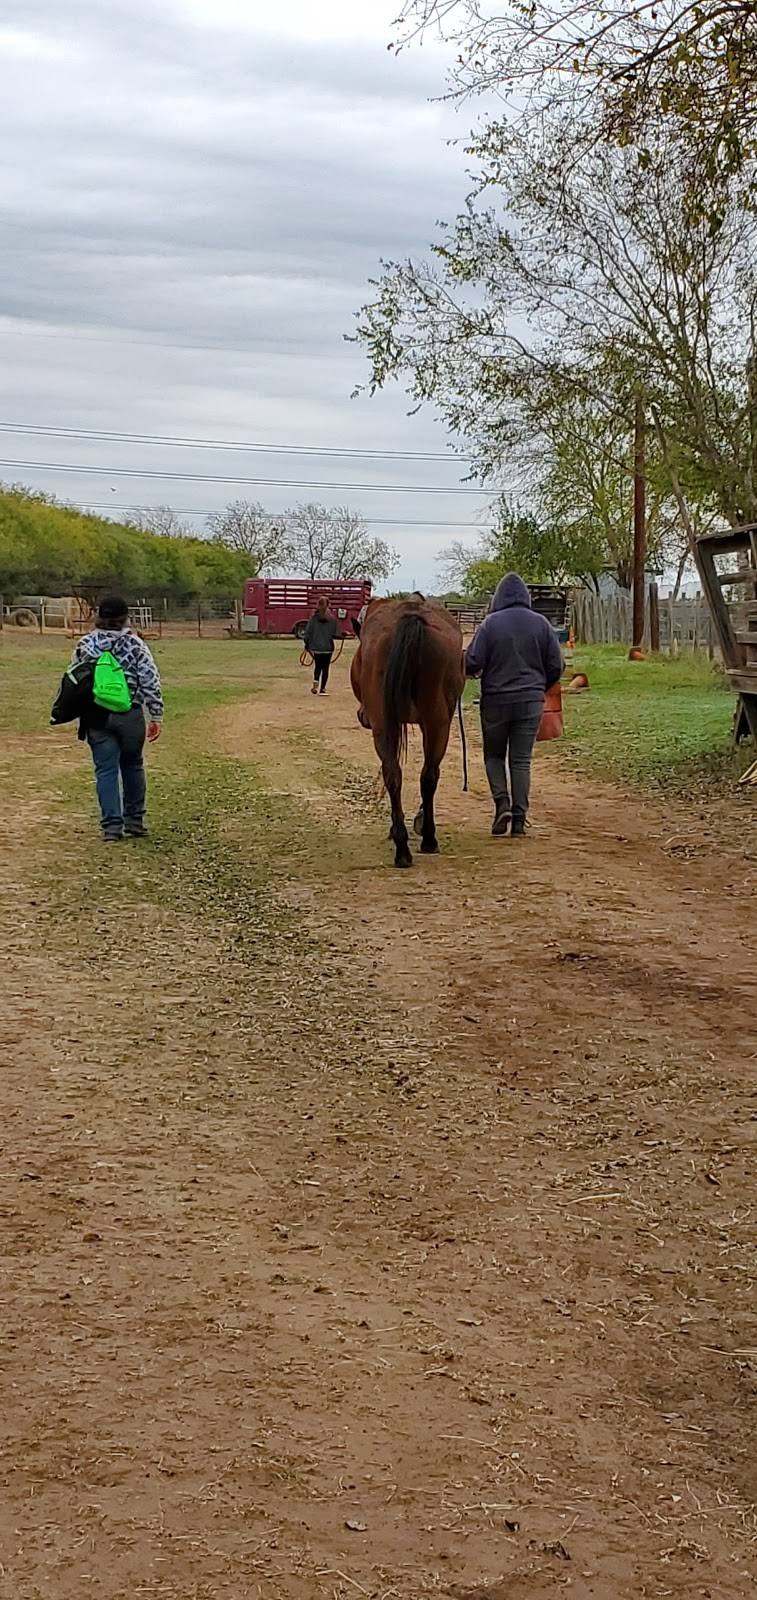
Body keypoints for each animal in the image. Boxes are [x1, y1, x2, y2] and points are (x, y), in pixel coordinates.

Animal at [350, 598, 464, 870]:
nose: (362, 715)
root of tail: (411, 616)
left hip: (390, 725)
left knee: (400, 775)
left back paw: (407, 844)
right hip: (435, 723)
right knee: (424, 775)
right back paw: (421, 842)